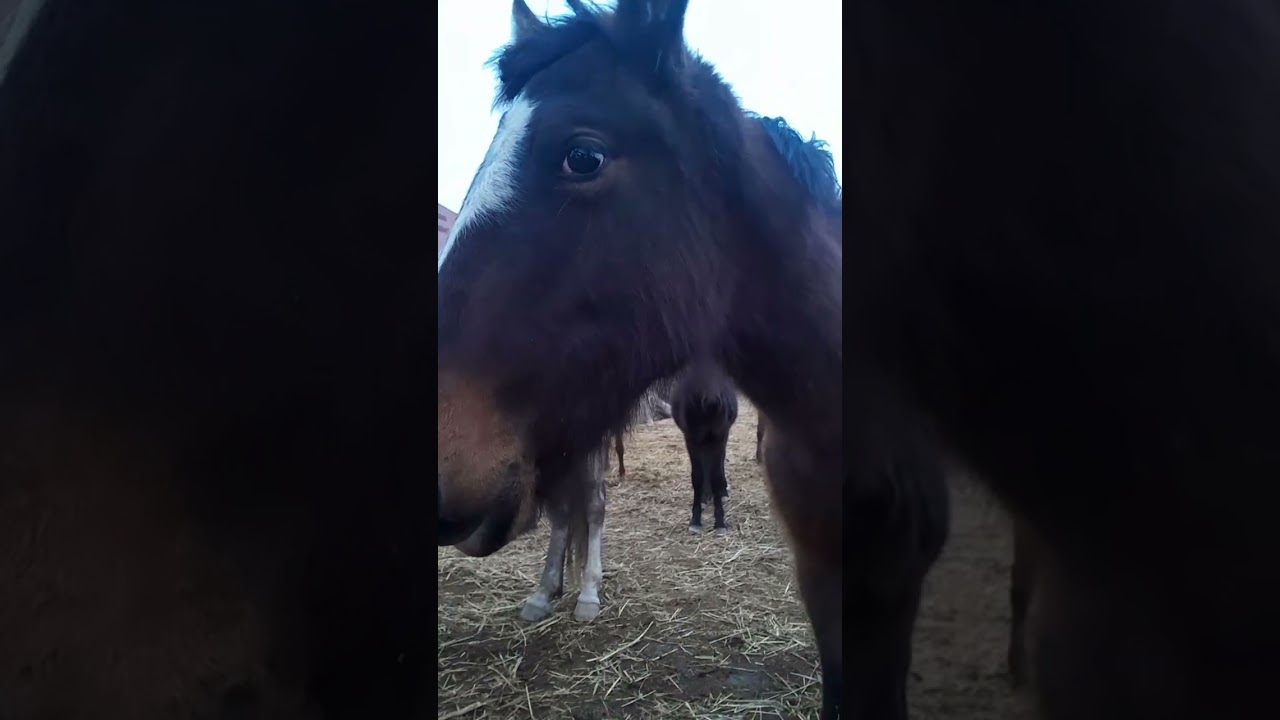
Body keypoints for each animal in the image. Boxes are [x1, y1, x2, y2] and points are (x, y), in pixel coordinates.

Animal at [670, 362, 739, 535]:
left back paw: (720, 493)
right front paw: (695, 521)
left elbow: (716, 475)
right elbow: (697, 476)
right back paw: (705, 497)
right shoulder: (691, 439)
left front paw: (720, 523)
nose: (712, 401)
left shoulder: (720, 437)